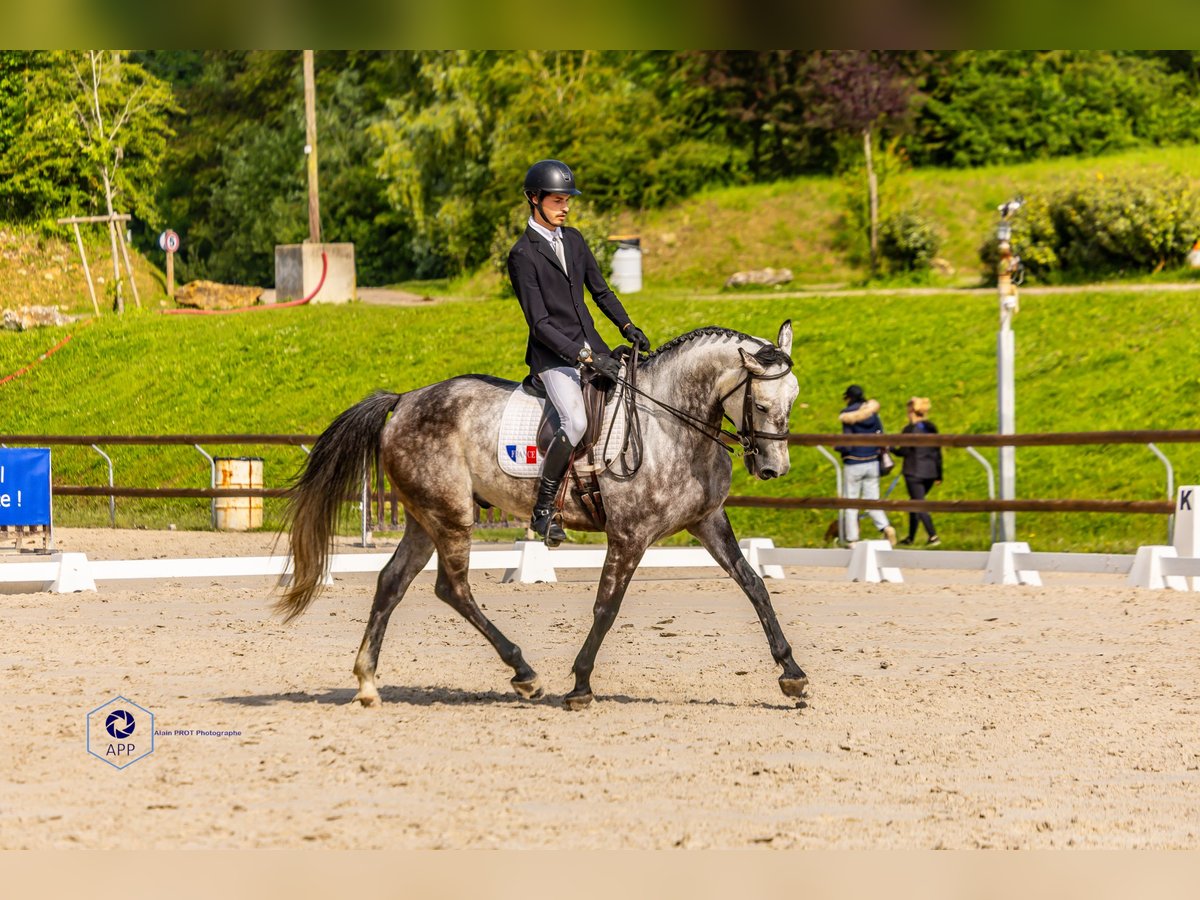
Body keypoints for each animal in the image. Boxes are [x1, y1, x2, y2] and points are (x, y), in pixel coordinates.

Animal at [278, 324, 806, 710]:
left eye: (792, 400)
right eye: (761, 404)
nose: (773, 469)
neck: (672, 424)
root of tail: (406, 399)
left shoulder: (708, 520)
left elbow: (754, 585)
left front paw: (792, 674)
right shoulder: (629, 535)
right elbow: (606, 607)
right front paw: (580, 685)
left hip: (425, 516)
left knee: (392, 582)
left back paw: (368, 683)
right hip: (450, 516)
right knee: (452, 588)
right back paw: (525, 674)